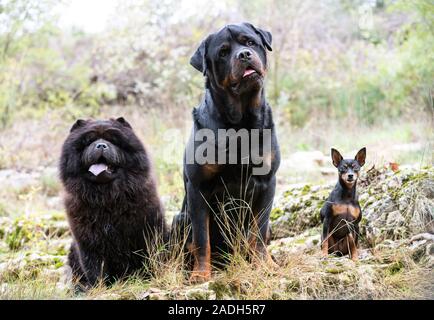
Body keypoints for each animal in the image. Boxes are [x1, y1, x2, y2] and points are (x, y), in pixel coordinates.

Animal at [60, 117, 168, 288]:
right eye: (89, 141)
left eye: (113, 140)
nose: (101, 145)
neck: (107, 198)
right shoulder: (88, 242)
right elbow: (94, 267)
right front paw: (98, 287)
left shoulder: (149, 230)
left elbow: (153, 256)